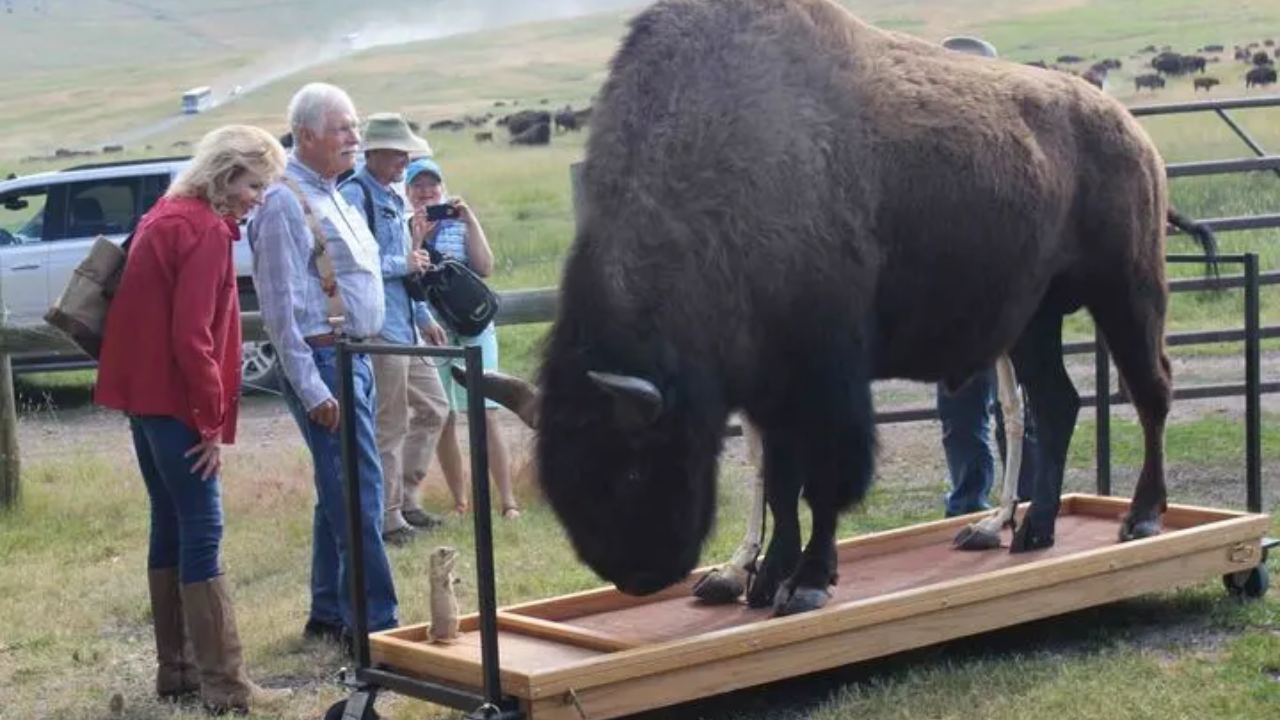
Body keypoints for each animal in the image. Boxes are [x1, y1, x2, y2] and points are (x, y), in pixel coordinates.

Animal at [466, 0, 1218, 616]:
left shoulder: (824, 378)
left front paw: (805, 584)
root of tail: (1131, 131)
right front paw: (766, 580)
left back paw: (1141, 518)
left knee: (1149, 391)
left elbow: (820, 480)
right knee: (1057, 403)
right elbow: (780, 482)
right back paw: (1031, 532)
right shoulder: (768, 388)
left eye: (629, 464)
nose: (635, 574)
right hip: (1034, 320)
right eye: (559, 476)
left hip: (1126, 290)